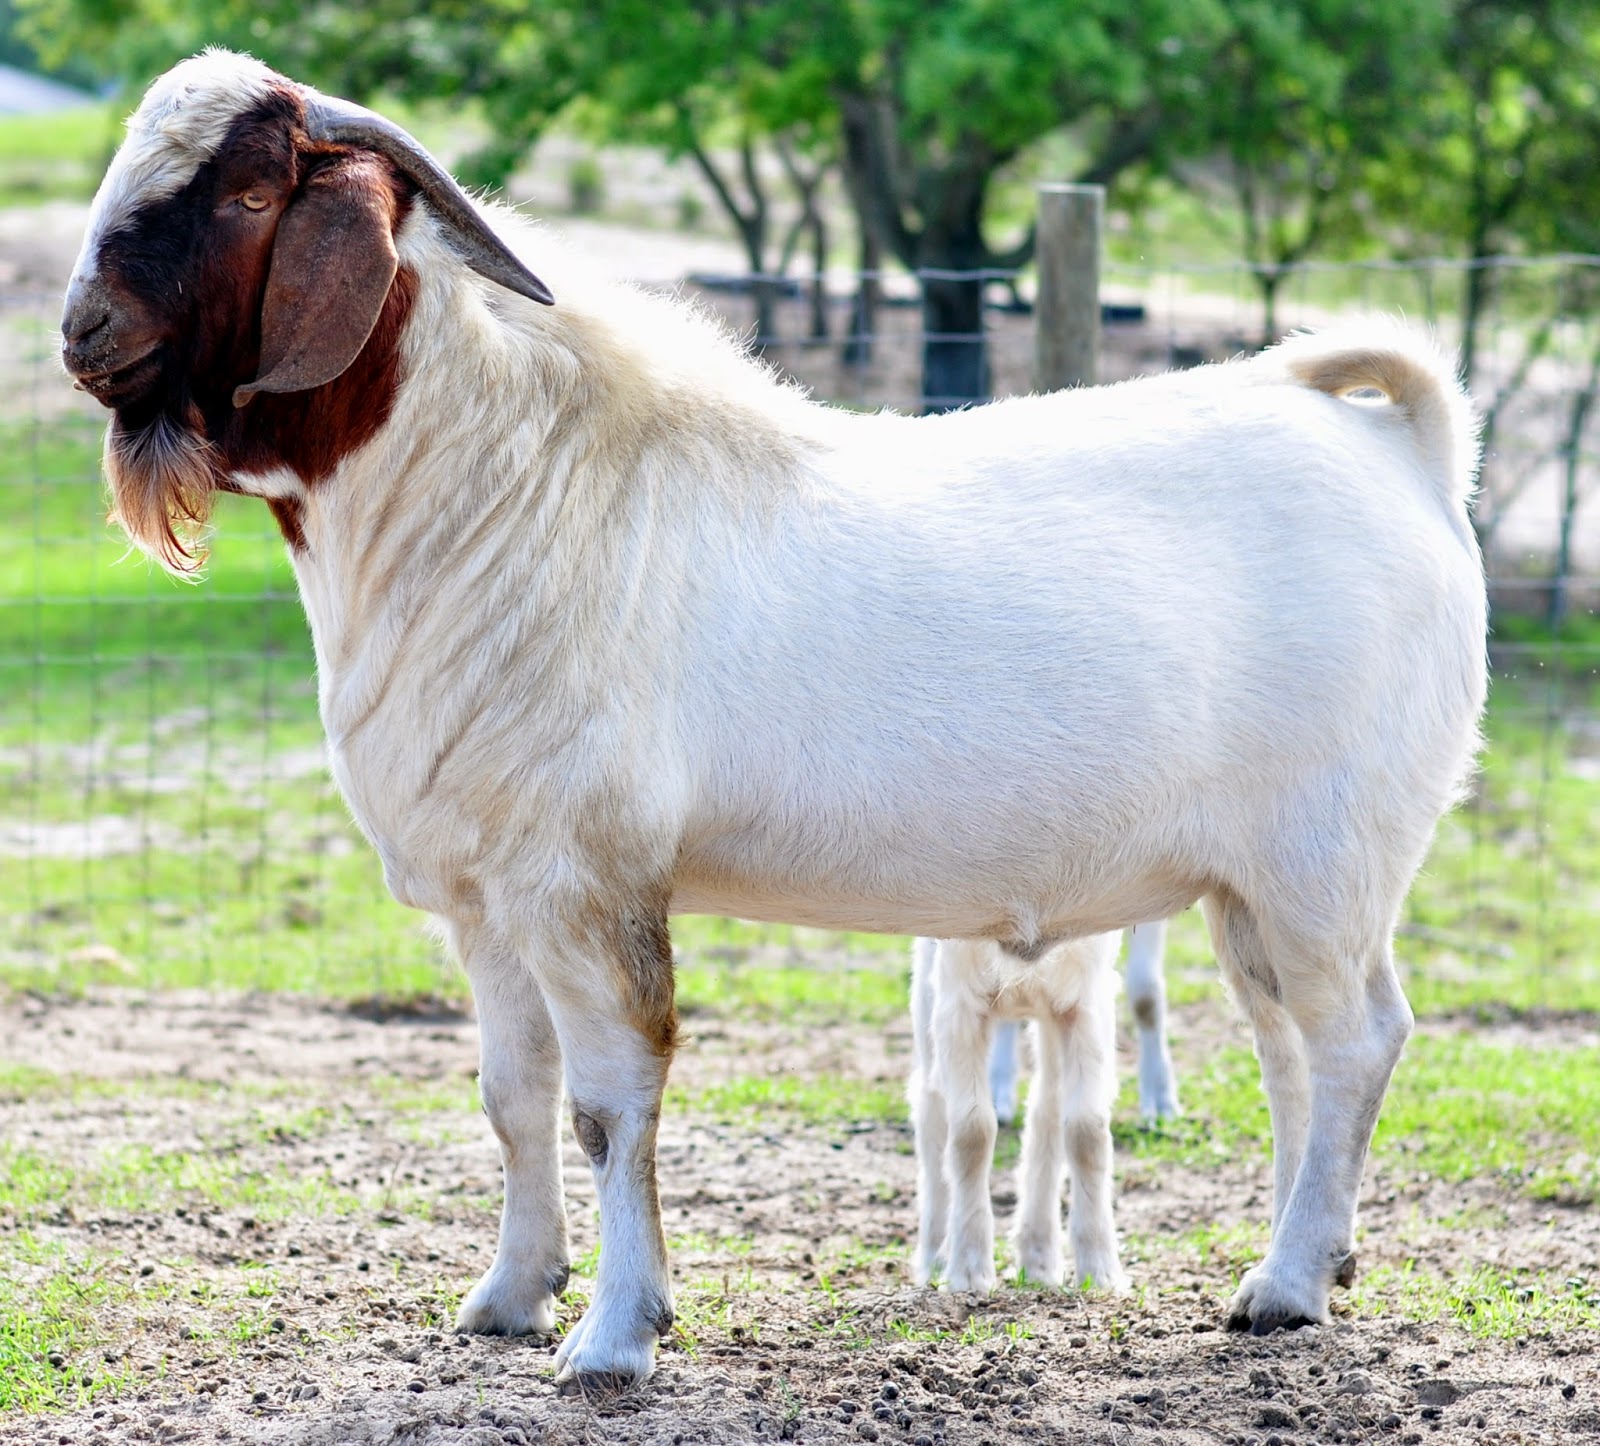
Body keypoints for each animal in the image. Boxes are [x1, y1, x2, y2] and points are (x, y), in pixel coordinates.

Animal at [911, 934, 1127, 1294]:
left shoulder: (1084, 1003)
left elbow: (1087, 1130)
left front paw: (1101, 1273)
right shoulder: (958, 1004)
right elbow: (973, 1132)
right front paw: (969, 1272)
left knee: (1046, 1110)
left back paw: (1039, 1261)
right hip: (928, 995)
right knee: (931, 1110)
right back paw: (934, 1258)